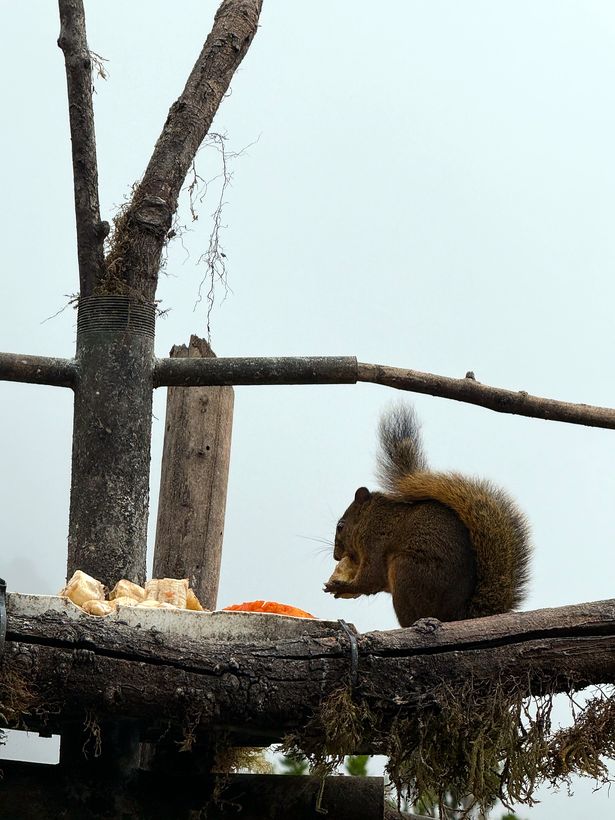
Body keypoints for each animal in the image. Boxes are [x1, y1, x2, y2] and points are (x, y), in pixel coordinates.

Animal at [324, 405, 531, 626]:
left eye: (340, 526)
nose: (336, 556)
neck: (369, 518)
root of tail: (457, 615)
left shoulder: (374, 542)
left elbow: (370, 579)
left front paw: (341, 587)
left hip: (406, 572)